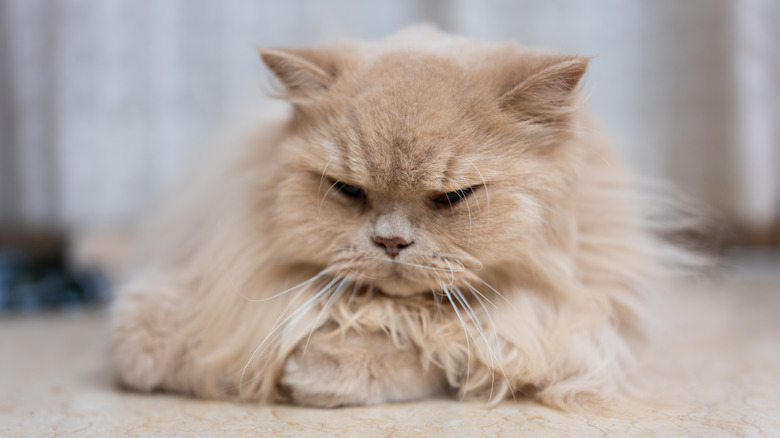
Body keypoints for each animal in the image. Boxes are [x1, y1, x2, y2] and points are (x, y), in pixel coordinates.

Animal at [112, 26, 680, 410]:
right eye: (347, 190)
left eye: (454, 197)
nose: (390, 242)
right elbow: (183, 328)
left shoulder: (571, 325)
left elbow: (449, 345)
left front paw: (326, 370)